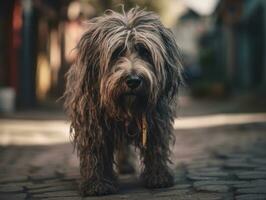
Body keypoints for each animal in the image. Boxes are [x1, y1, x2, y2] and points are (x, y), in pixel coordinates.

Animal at [63, 7, 182, 195]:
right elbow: (95, 152)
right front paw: (96, 183)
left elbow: (156, 147)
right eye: (117, 52)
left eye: (145, 51)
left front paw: (158, 176)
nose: (133, 80)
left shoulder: (156, 121)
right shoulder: (92, 125)